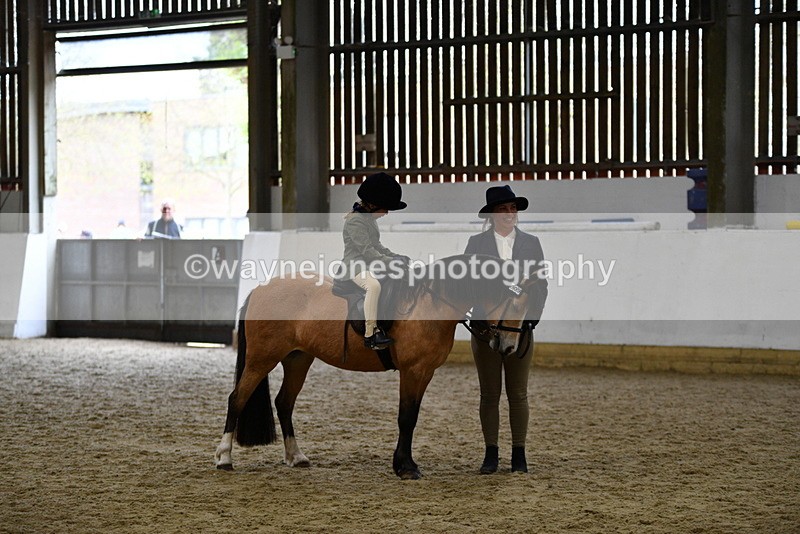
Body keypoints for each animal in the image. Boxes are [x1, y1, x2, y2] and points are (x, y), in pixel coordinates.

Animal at [214, 254, 540, 479]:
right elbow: (406, 418)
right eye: (515, 305)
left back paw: (297, 456)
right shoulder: (413, 371)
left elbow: (412, 417)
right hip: (261, 360)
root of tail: (260, 290)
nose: (509, 348)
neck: (431, 304)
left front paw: (405, 463)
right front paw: (405, 467)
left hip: (298, 359)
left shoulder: (425, 373)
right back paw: (224, 458)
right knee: (237, 399)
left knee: (284, 403)